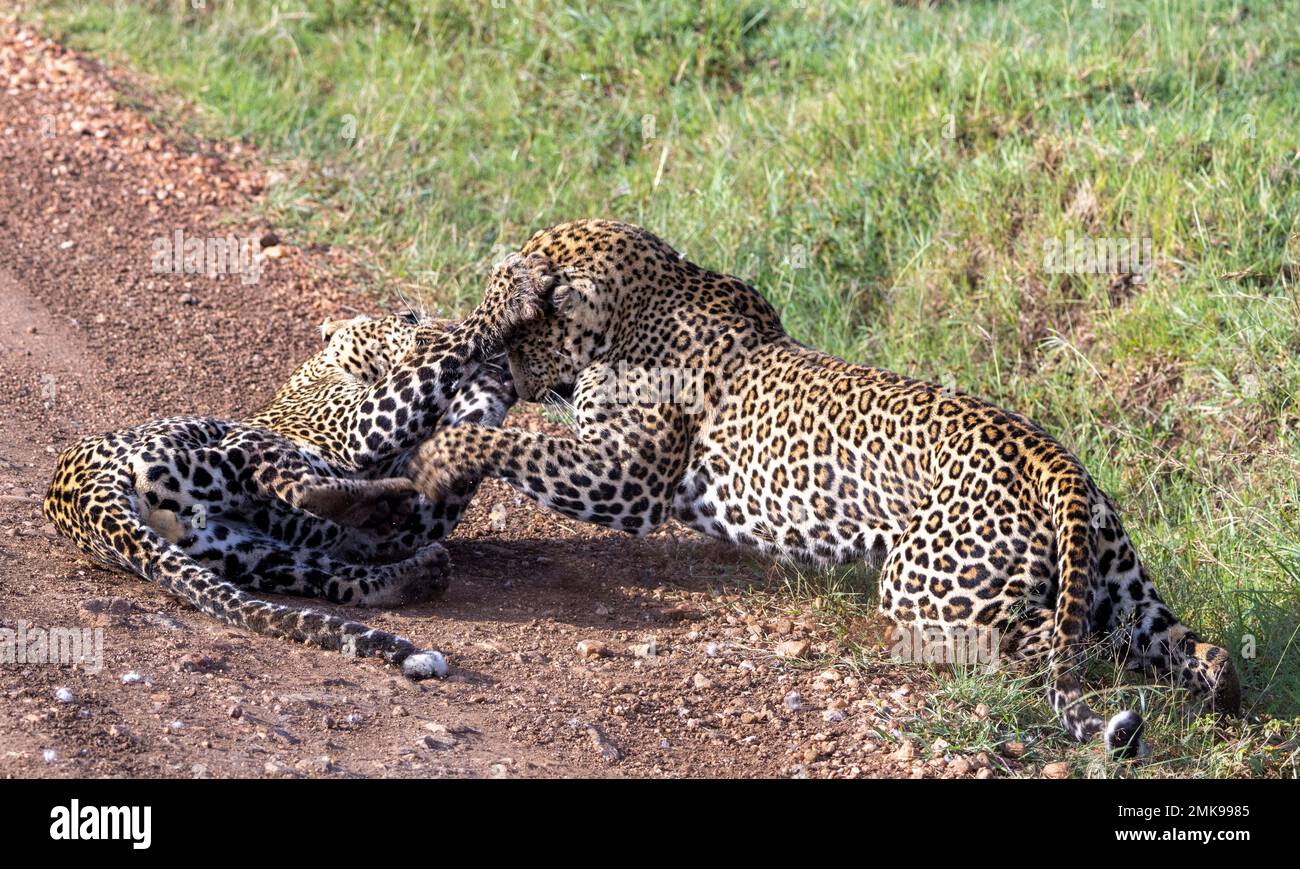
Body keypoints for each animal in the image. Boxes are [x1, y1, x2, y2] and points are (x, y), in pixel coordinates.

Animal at [43, 255, 555, 679]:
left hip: (250, 554)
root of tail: (75, 498)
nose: (431, 321)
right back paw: (378, 505)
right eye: (407, 318)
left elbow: (470, 414)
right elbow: (451, 347)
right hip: (220, 445)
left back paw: (417, 570)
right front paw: (509, 293)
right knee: (273, 479)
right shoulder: (363, 423)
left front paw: (504, 367)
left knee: (337, 577)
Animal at [410, 220, 1241, 756]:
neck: (645, 300)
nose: (509, 373)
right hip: (1119, 589)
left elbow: (515, 441)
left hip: (925, 588)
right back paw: (1220, 699)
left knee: (1045, 645)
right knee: (1189, 646)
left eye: (524, 332)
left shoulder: (627, 476)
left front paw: (438, 457)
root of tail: (1053, 460)